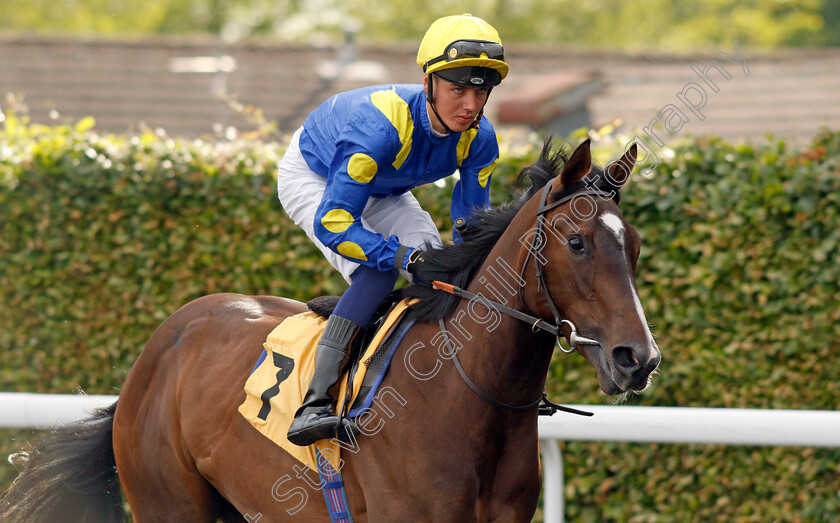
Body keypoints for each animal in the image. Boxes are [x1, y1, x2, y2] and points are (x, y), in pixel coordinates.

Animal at [1, 139, 664, 523]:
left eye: (633, 245)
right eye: (577, 243)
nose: (638, 358)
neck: (465, 394)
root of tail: (156, 350)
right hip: (168, 502)